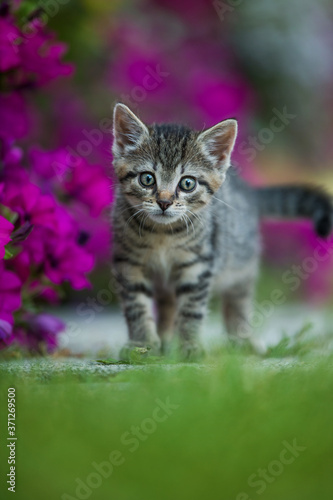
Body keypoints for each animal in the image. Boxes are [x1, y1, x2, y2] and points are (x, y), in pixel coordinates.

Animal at [110, 103, 330, 358]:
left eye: (187, 183)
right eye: (147, 179)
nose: (164, 202)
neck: (162, 235)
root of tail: (247, 191)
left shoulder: (199, 263)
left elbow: (192, 308)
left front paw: (190, 346)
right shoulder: (129, 263)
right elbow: (136, 305)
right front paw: (141, 345)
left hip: (241, 264)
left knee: (238, 300)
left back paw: (242, 339)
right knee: (168, 304)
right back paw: (166, 343)